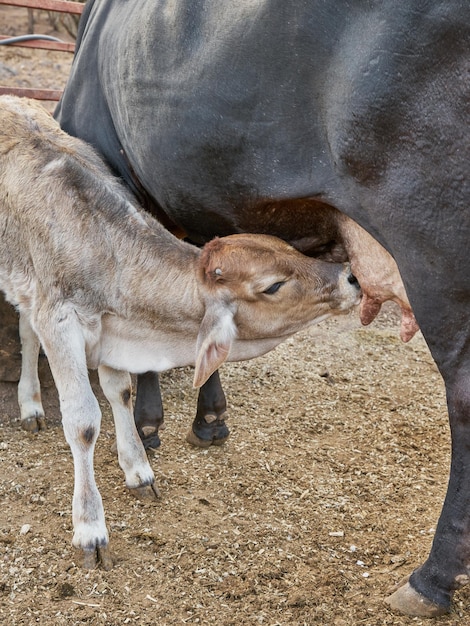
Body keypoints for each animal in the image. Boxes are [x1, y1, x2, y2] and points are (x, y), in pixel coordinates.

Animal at [0, 96, 360, 564]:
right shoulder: (58, 320)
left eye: (287, 249)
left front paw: (138, 471)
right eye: (273, 285)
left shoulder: (109, 329)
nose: (350, 277)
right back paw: (30, 405)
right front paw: (91, 529)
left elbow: (120, 392)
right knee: (27, 336)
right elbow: (82, 421)